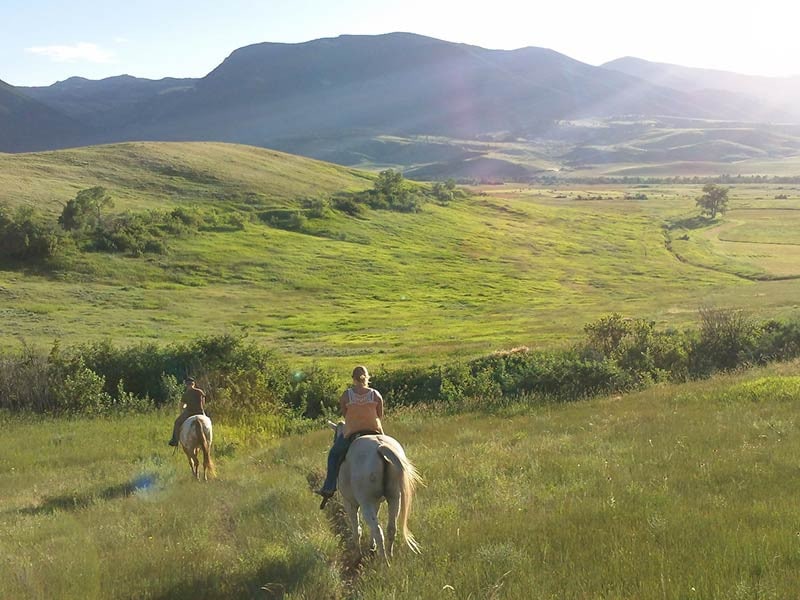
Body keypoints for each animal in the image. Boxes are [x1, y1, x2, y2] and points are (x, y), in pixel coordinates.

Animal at [327, 421, 422, 563]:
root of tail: (380, 447)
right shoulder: (376, 502)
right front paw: (372, 547)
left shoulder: (350, 503)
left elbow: (357, 529)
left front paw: (358, 554)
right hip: (394, 498)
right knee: (390, 529)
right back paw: (390, 556)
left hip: (366, 503)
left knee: (378, 530)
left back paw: (385, 562)